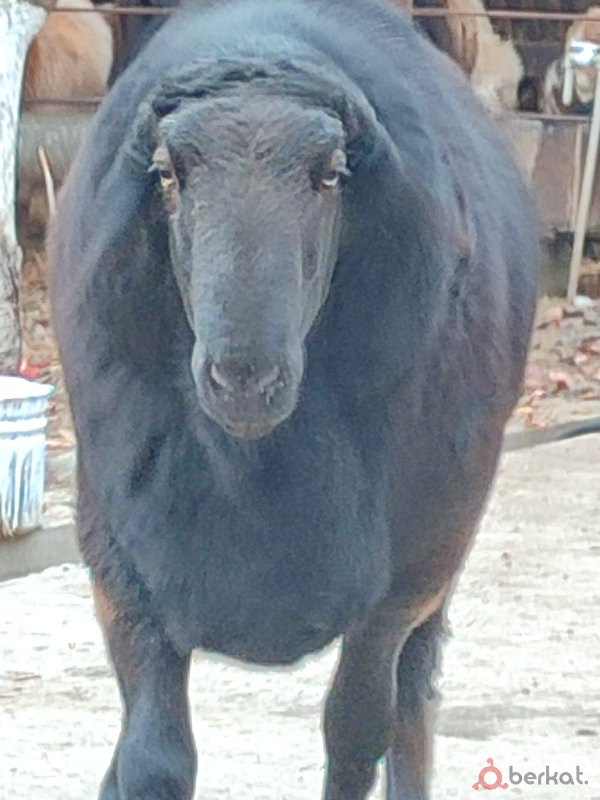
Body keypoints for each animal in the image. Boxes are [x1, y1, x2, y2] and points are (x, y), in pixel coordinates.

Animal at [49, 0, 540, 797]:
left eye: (331, 174)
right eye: (167, 173)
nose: (244, 374)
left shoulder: (405, 578)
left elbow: (355, 733)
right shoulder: (121, 562)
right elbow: (153, 758)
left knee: (413, 699)